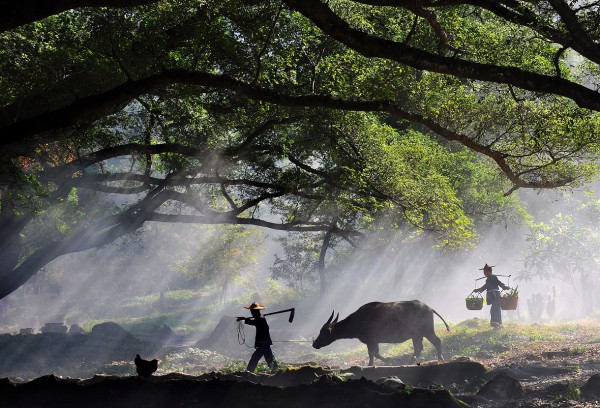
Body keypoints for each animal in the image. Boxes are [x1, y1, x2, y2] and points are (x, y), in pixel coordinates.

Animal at [312, 300, 448, 366]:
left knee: (437, 341)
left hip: (427, 330)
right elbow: (376, 354)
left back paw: (440, 359)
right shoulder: (375, 341)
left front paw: (370, 364)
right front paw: (388, 360)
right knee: (418, 348)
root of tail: (429, 308)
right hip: (416, 335)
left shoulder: (370, 340)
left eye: (323, 332)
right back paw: (410, 362)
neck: (358, 320)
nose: (314, 344)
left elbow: (371, 354)